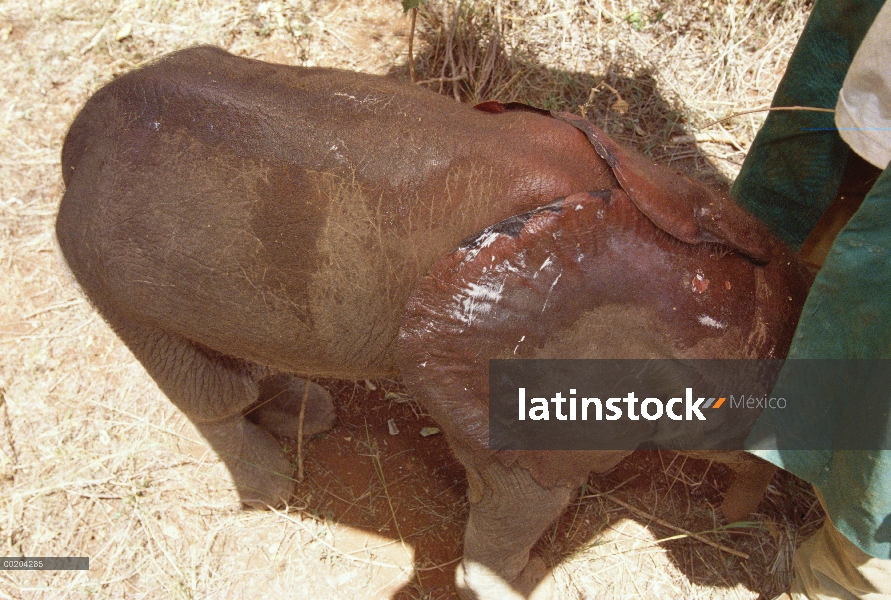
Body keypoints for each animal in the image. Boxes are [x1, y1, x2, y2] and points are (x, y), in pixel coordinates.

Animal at [55, 47, 816, 600]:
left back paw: (309, 416)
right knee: (208, 390)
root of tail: (77, 137)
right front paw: (526, 580)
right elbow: (525, 497)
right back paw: (272, 486)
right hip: (106, 272)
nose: (742, 526)